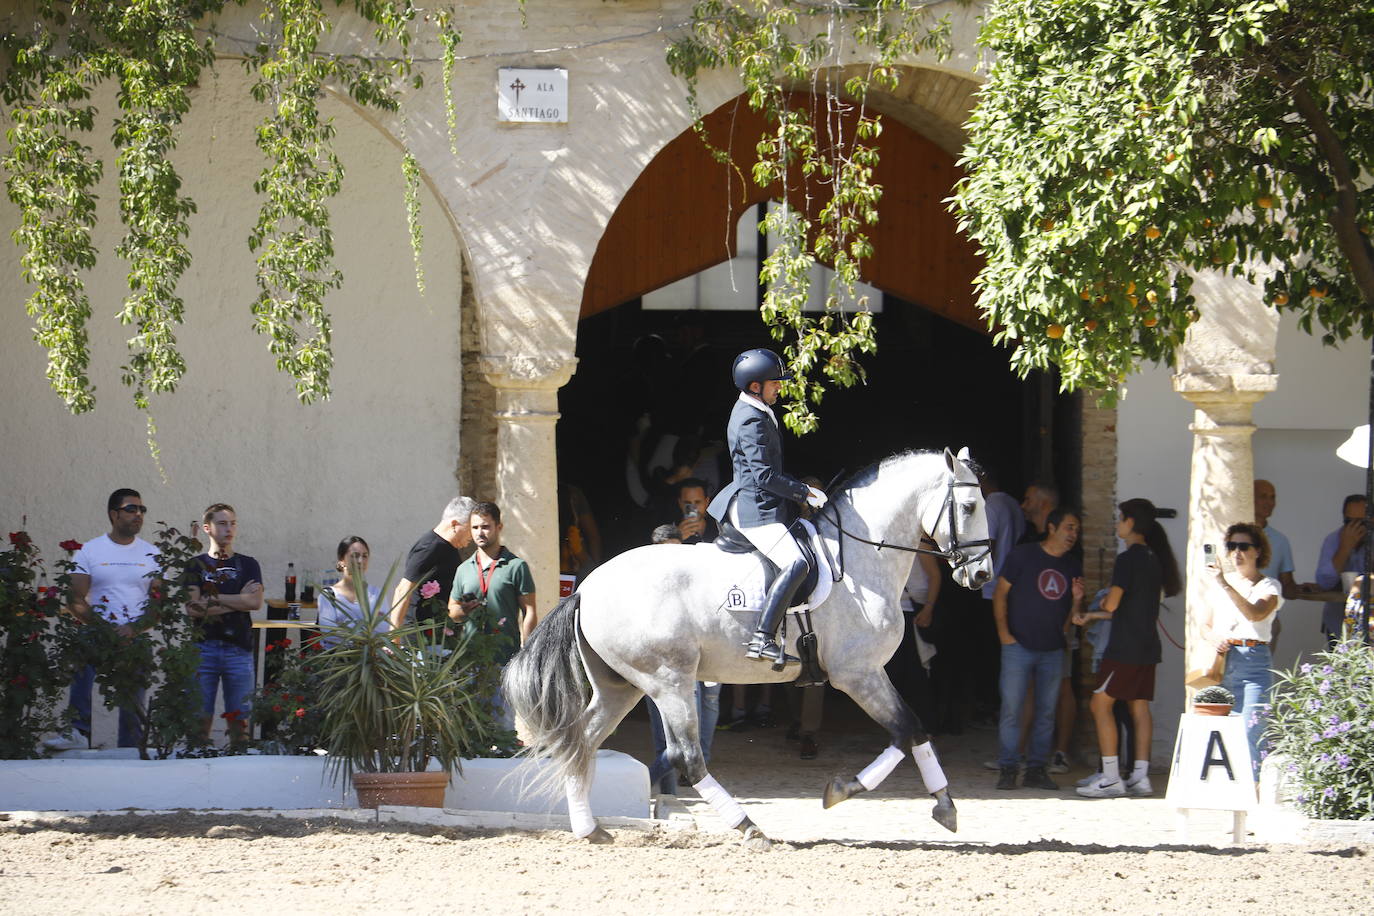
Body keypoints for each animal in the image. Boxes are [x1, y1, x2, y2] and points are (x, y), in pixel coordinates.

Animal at [502, 447, 989, 851]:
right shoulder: (858, 674)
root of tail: (587, 587)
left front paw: (938, 803)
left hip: (621, 686)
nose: (981, 575)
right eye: (969, 507)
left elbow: (912, 732)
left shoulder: (866, 674)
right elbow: (907, 729)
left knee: (583, 741)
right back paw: (749, 828)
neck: (858, 562)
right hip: (668, 681)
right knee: (687, 757)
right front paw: (851, 792)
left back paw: (590, 829)